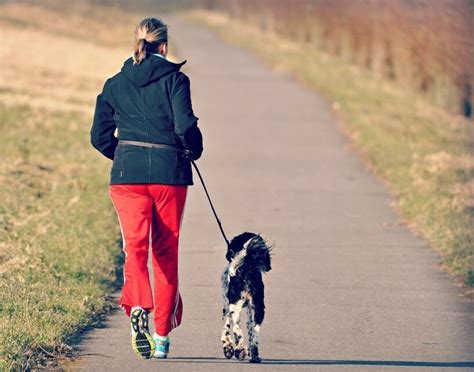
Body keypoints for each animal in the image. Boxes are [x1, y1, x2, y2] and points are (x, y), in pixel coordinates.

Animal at [220, 232, 272, 364]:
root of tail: (247, 269)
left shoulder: (226, 305)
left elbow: (227, 328)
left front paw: (228, 348)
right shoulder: (249, 309)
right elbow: (249, 331)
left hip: (234, 306)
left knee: (237, 329)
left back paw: (240, 350)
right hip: (258, 308)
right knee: (254, 335)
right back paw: (254, 356)